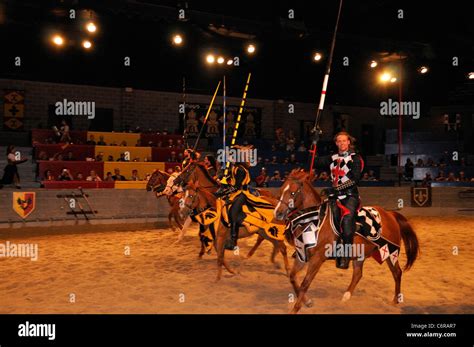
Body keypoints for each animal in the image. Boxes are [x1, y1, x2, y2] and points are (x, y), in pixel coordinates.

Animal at [272, 171, 420, 316]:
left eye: (292, 193)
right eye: (281, 191)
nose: (278, 213)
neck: (315, 220)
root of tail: (390, 215)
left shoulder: (317, 259)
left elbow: (305, 283)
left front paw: (296, 308)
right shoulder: (302, 255)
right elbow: (292, 277)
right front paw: (307, 302)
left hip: (390, 252)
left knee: (397, 273)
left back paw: (395, 301)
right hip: (361, 254)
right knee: (358, 274)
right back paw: (346, 297)